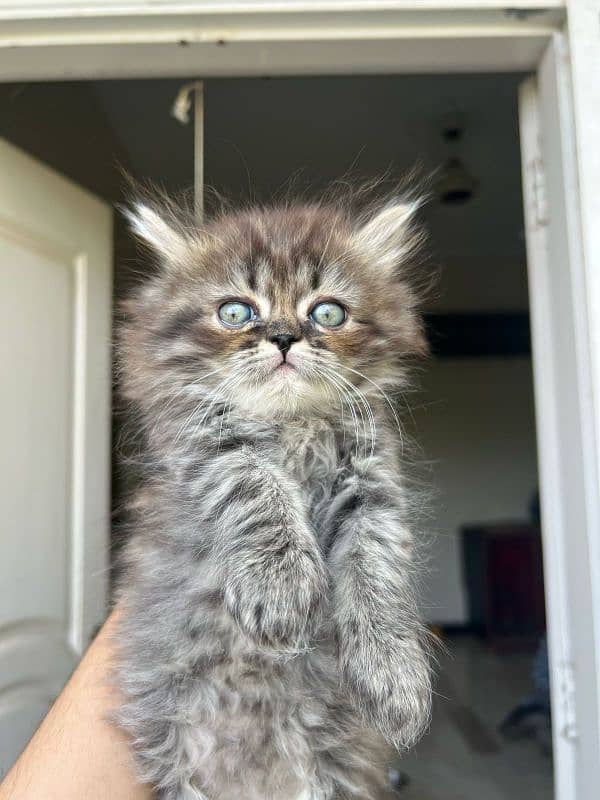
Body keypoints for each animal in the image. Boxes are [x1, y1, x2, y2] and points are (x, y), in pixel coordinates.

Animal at [113, 195, 432, 800]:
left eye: (327, 313)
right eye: (237, 313)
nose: (284, 337)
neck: (292, 425)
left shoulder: (372, 484)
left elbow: (377, 574)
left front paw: (394, 677)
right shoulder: (199, 442)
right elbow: (253, 482)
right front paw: (280, 585)